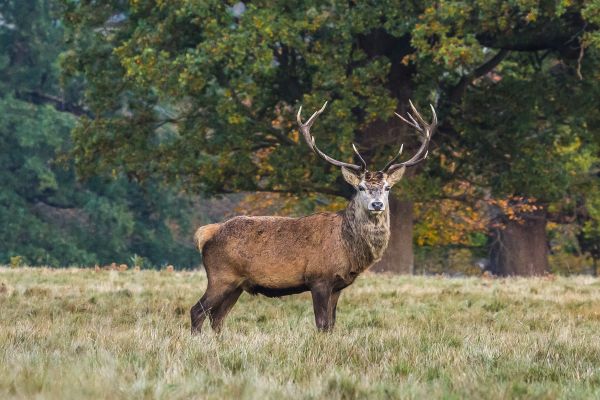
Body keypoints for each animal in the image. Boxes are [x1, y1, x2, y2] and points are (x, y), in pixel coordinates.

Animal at [191, 101, 436, 334]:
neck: (347, 247)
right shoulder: (319, 279)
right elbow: (321, 323)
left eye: (387, 187)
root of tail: (206, 234)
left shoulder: (338, 285)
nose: (377, 204)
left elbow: (332, 324)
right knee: (197, 311)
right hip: (221, 276)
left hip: (238, 285)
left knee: (217, 317)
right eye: (361, 188)